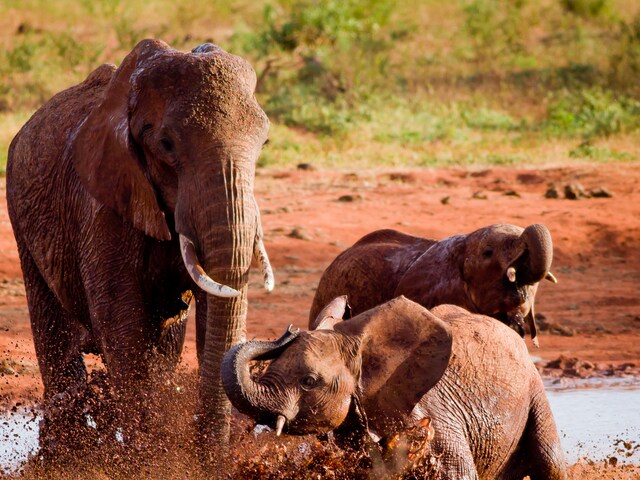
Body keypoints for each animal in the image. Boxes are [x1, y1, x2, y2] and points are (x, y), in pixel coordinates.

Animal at [7, 39, 273, 454]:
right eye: (166, 145)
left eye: (264, 143)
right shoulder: (101, 208)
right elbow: (123, 325)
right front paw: (144, 458)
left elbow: (205, 312)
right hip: (20, 212)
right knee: (55, 333)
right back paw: (66, 453)